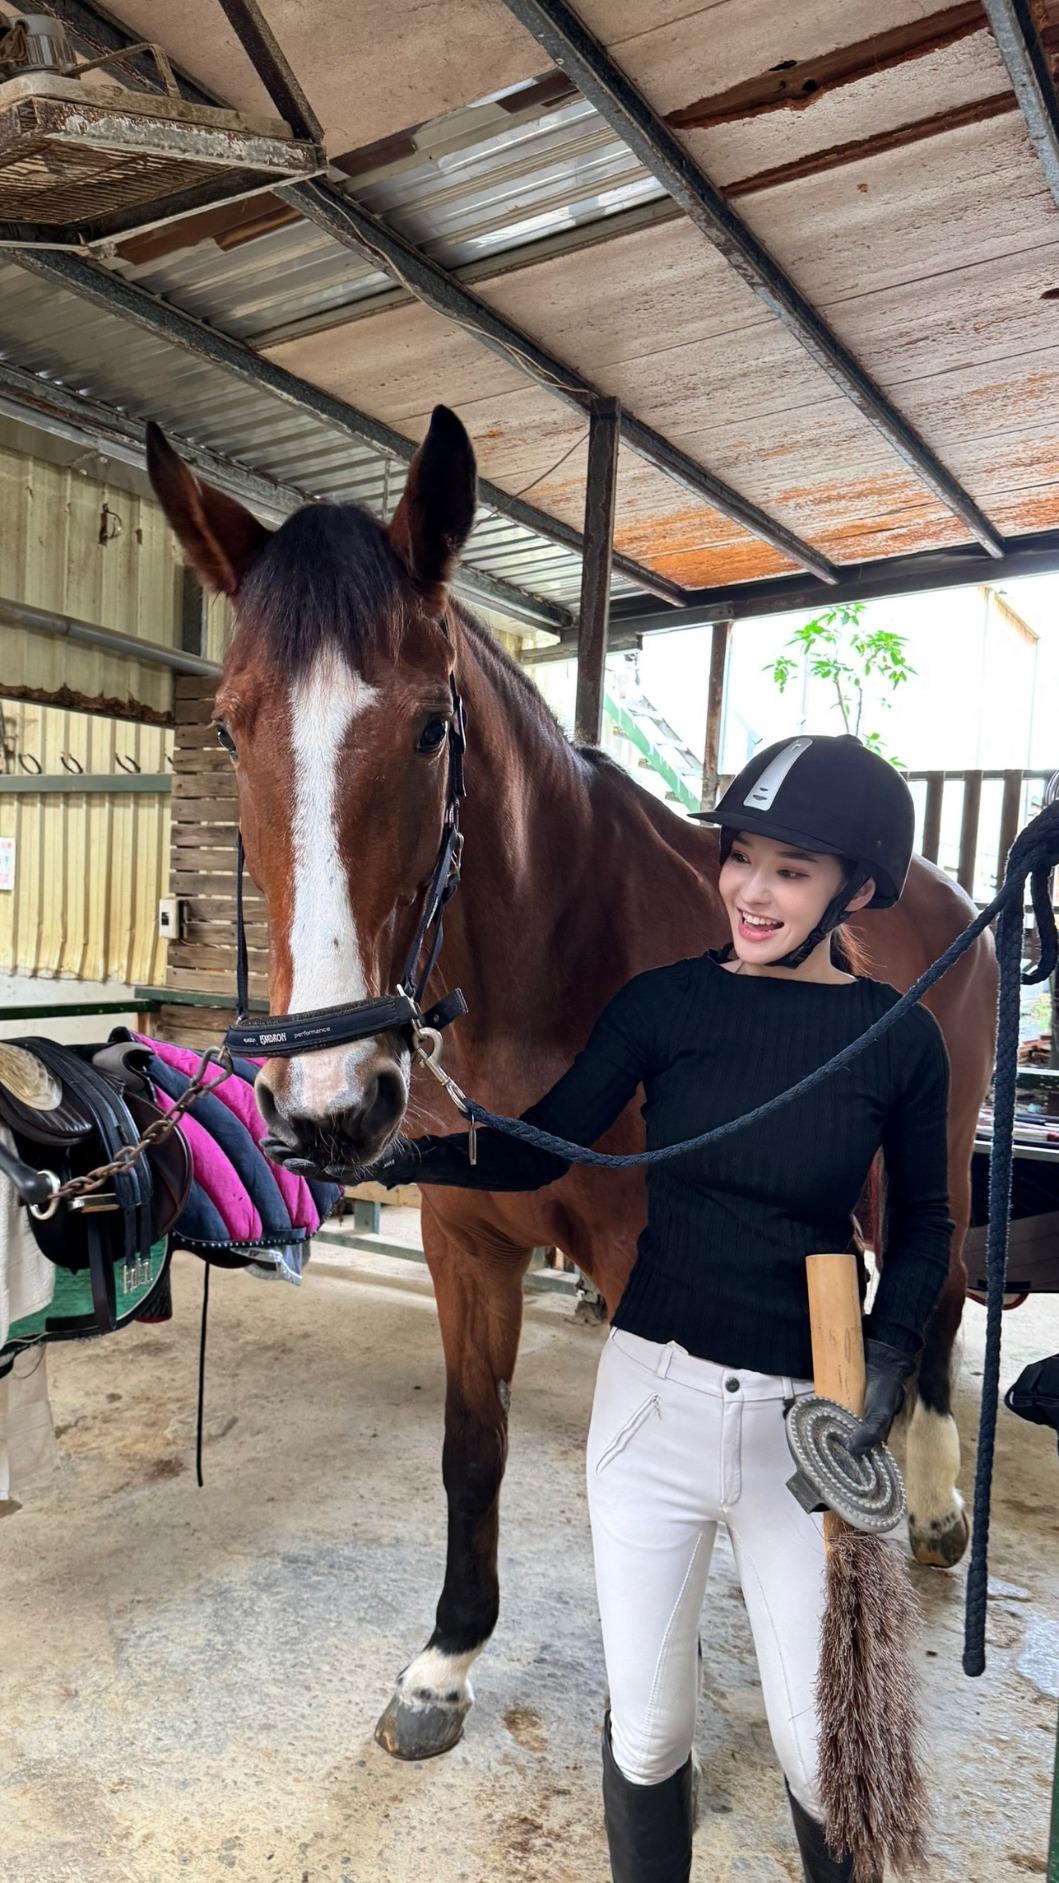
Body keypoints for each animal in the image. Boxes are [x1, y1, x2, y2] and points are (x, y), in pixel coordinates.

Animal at [147, 404, 998, 1763]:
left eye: (432, 727)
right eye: (231, 726)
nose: (329, 1105)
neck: (560, 972)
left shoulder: (647, 1266)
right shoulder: (465, 1243)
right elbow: (472, 1447)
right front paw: (445, 1662)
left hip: (938, 1155)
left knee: (946, 1295)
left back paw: (928, 1508)